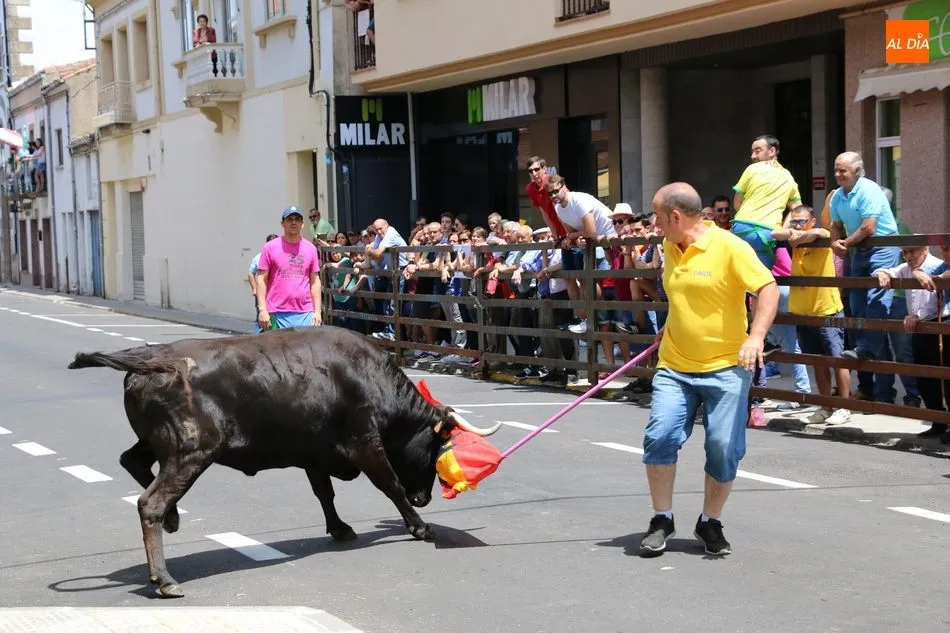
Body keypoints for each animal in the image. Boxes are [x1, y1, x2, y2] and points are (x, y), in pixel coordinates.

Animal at [67, 326, 500, 599]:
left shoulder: (315, 451)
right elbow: (390, 484)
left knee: (132, 462)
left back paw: (173, 521)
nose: (425, 497)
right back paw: (165, 577)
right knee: (150, 503)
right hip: (190, 451)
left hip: (161, 444)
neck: (369, 376)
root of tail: (152, 358)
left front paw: (340, 528)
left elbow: (324, 492)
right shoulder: (364, 443)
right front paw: (420, 527)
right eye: (435, 450)